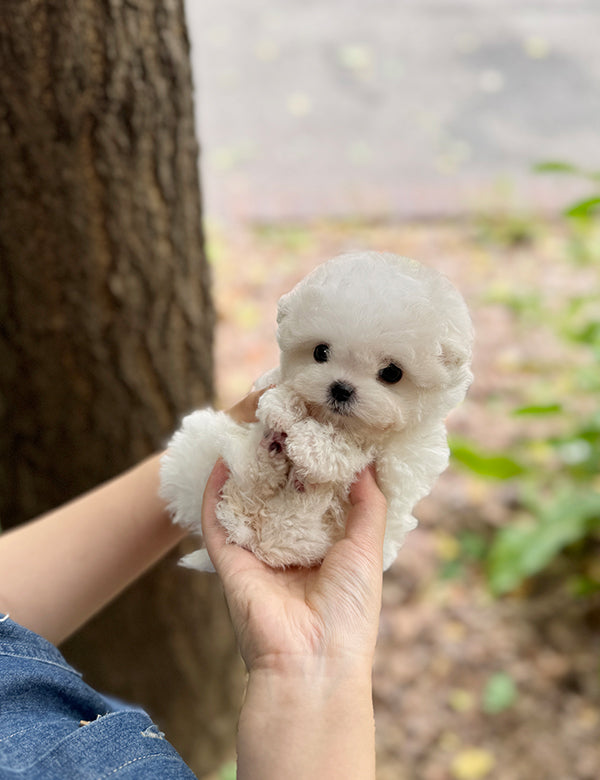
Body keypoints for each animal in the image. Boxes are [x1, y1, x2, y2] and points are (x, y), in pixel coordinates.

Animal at [159, 253, 474, 568]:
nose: (341, 389)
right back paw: (268, 453)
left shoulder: (399, 465)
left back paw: (298, 489)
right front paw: (284, 405)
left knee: (285, 533)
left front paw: (311, 445)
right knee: (243, 487)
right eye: (320, 352)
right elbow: (277, 396)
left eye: (392, 373)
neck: (335, 420)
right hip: (202, 446)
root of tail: (250, 532)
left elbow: (354, 451)